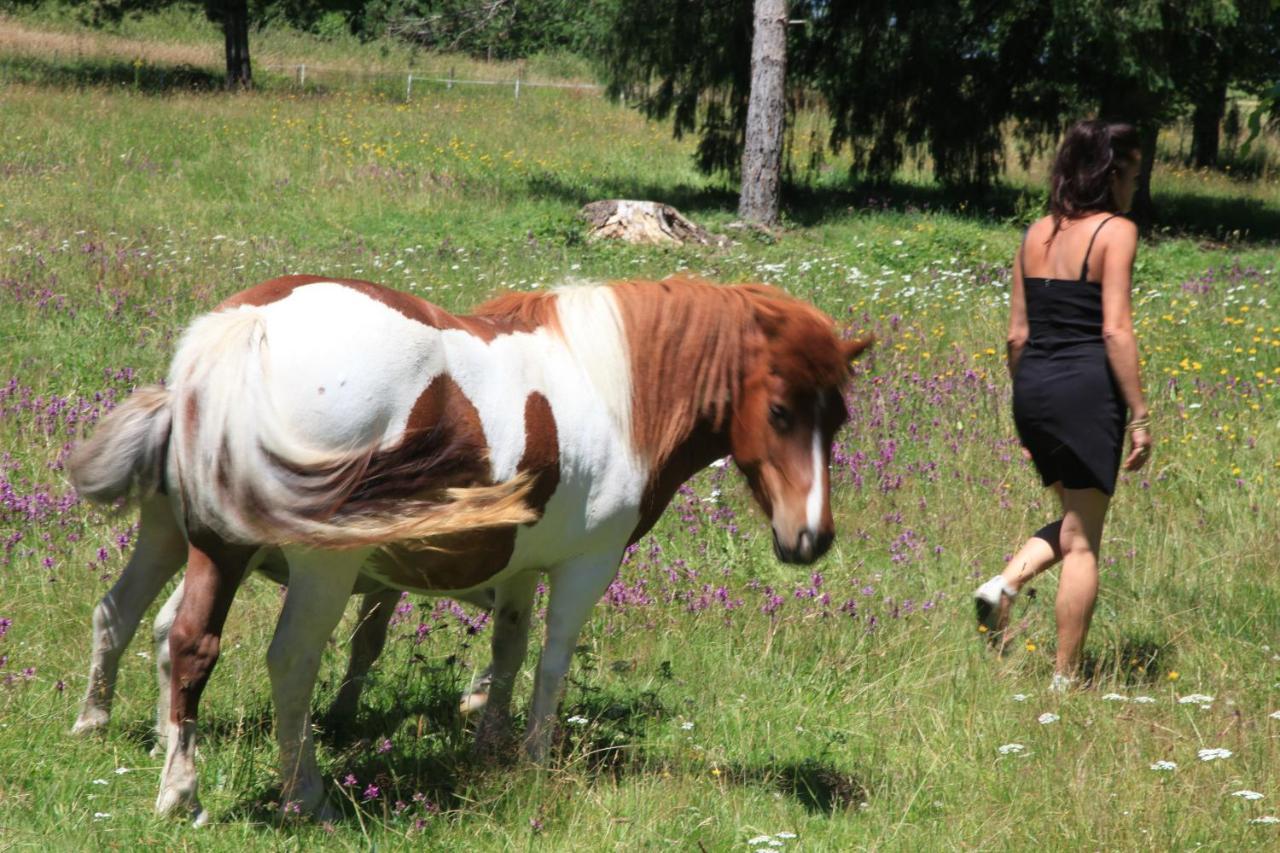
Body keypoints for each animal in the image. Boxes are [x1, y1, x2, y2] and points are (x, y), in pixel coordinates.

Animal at [70, 272, 870, 819]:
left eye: (839, 418)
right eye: (781, 411)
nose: (811, 538)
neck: (614, 393)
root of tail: (253, 324)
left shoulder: (517, 563)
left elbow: (508, 648)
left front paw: (490, 742)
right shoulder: (584, 567)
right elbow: (551, 662)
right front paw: (537, 760)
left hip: (193, 538)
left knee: (152, 627)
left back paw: (132, 749)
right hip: (320, 566)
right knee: (284, 660)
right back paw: (296, 796)